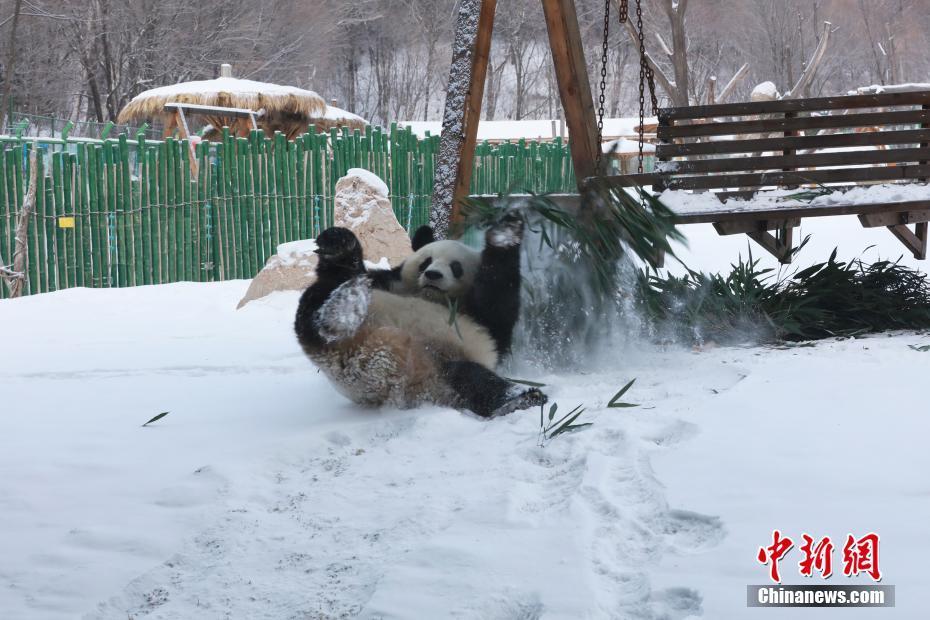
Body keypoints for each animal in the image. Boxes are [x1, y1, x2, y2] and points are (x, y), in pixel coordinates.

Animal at [294, 213, 548, 416]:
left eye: (456, 267)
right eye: (426, 261)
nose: (433, 275)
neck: (432, 297)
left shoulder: (481, 320)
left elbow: (497, 303)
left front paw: (505, 234)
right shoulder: (388, 283)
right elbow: (350, 272)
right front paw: (337, 242)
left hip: (444, 366)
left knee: (474, 379)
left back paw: (522, 399)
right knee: (319, 299)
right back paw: (345, 302)